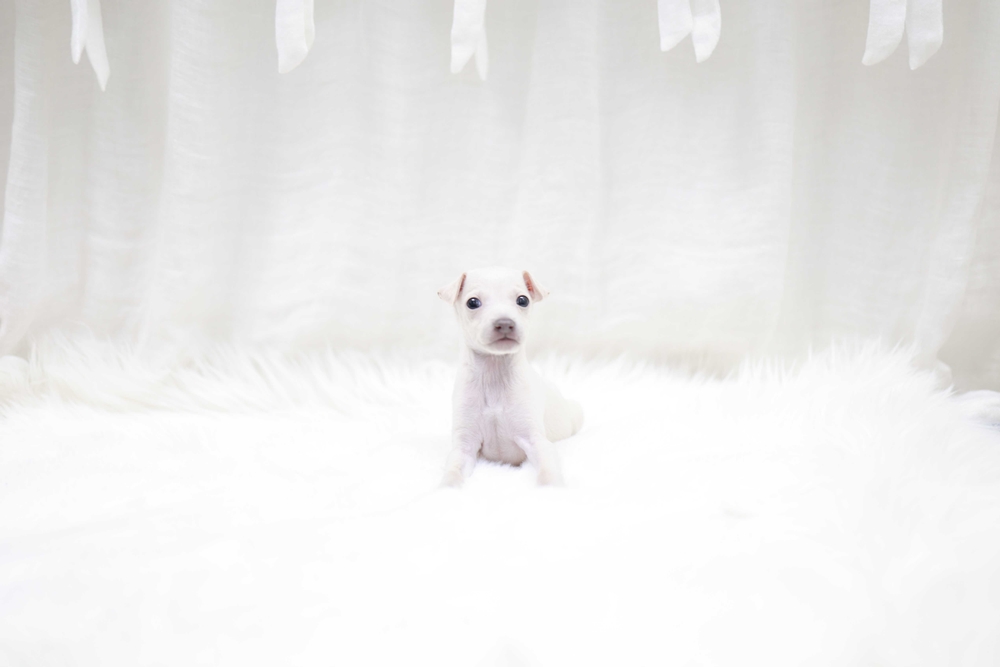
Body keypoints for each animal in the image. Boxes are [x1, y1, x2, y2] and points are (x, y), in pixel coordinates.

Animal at [437, 267, 584, 487]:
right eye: (472, 302)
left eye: (522, 300)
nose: (505, 323)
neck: (494, 373)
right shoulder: (464, 445)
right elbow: (453, 473)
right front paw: (445, 488)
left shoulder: (536, 441)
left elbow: (547, 471)